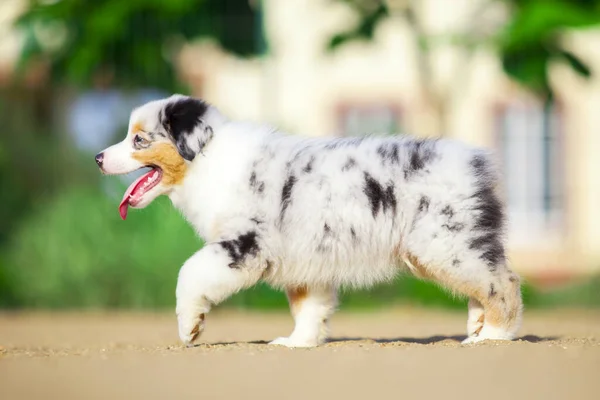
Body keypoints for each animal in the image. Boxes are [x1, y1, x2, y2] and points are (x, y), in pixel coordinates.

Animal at [96, 94, 524, 346]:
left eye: (138, 140)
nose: (98, 158)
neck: (206, 159)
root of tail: (476, 162)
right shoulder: (304, 255)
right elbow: (308, 307)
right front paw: (297, 343)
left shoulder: (244, 243)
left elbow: (190, 272)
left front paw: (190, 327)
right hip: (450, 245)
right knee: (486, 278)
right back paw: (477, 328)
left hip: (444, 243)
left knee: (503, 283)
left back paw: (494, 336)